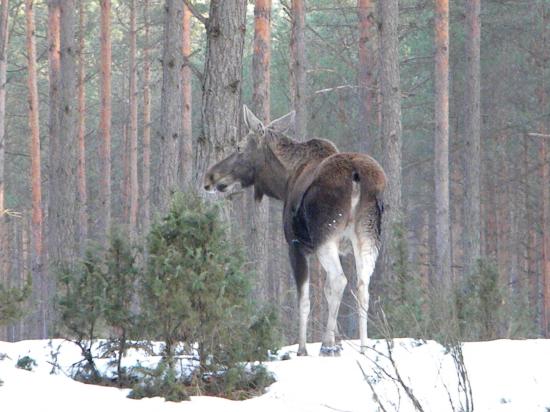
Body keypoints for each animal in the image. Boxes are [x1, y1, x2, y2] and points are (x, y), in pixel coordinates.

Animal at [205, 107, 386, 358]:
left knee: (340, 279)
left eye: (239, 146)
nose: (210, 176)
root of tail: (357, 175)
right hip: (368, 235)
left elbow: (304, 299)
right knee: (362, 284)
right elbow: (326, 291)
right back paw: (364, 346)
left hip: (325, 235)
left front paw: (304, 348)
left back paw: (326, 345)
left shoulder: (296, 245)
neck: (282, 183)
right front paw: (337, 342)